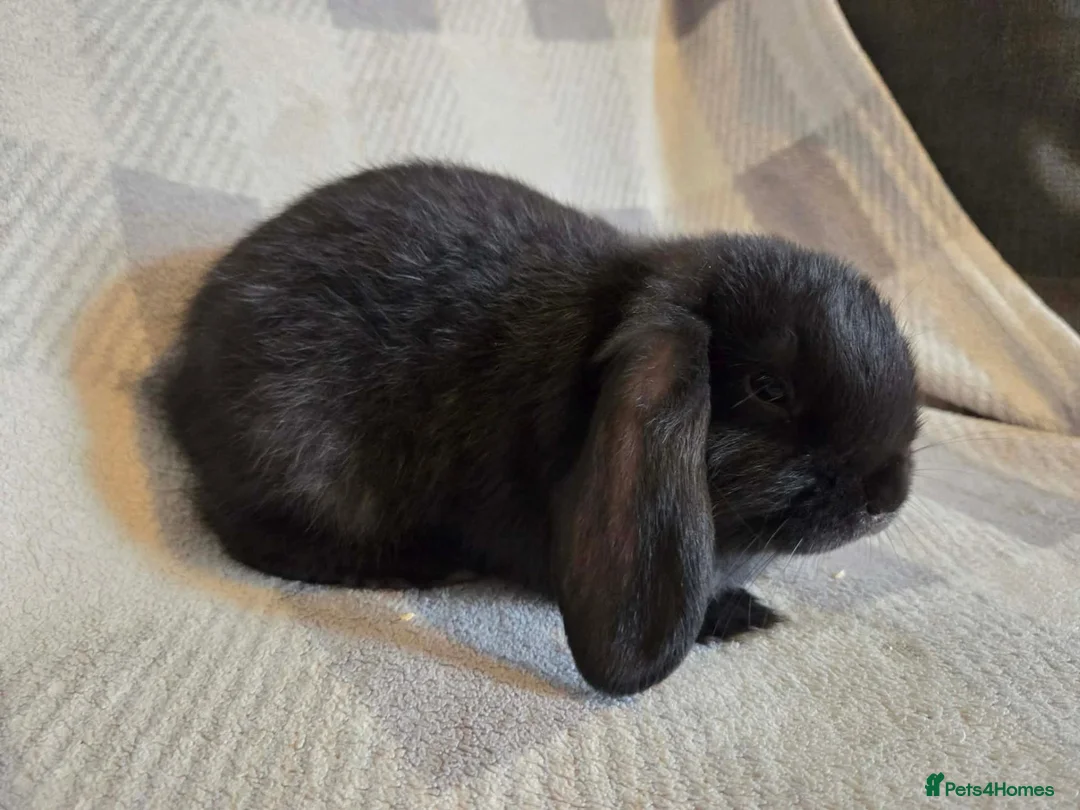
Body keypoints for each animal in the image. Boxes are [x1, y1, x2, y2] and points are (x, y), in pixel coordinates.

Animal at [160, 162, 918, 696]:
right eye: (768, 388)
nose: (887, 498)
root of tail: (183, 370)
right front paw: (737, 617)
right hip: (301, 458)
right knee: (250, 535)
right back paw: (419, 565)